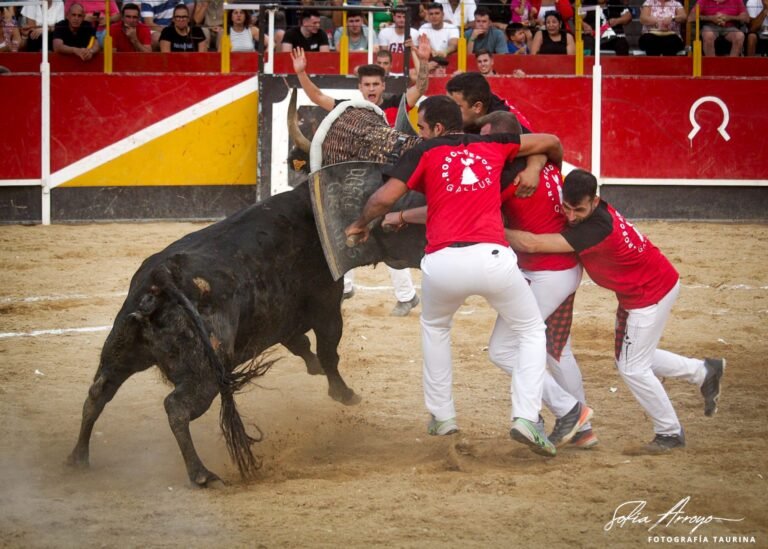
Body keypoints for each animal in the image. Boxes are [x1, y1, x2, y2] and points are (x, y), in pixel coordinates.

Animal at [67, 103, 426, 488]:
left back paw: (78, 457)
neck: (311, 212)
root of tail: (161, 277)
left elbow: (302, 346)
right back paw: (201, 474)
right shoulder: (327, 308)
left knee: (98, 392)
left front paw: (315, 368)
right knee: (175, 407)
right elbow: (330, 354)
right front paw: (345, 394)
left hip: (120, 350)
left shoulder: (281, 319)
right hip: (203, 374)